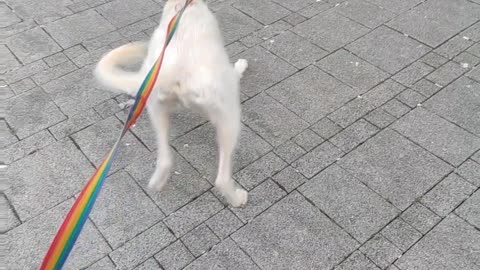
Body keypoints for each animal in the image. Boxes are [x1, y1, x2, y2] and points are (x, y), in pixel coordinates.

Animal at [95, 0, 249, 207]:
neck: (182, 6)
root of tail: (175, 74)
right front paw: (240, 66)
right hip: (229, 117)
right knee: (222, 179)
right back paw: (238, 199)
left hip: (157, 111)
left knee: (164, 160)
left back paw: (156, 184)